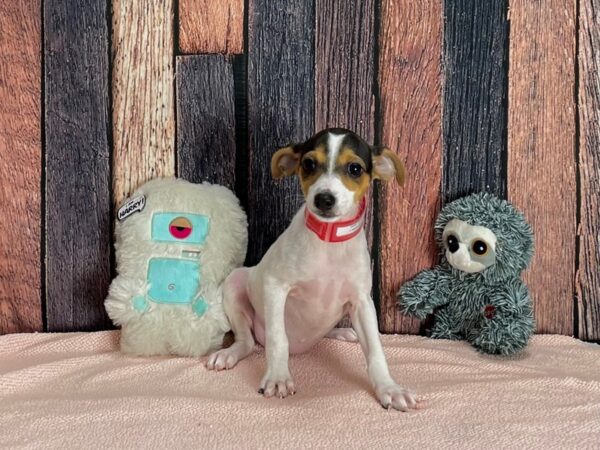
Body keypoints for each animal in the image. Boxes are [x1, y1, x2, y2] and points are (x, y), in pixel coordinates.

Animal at [206, 127, 418, 412]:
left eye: (354, 168)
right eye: (308, 164)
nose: (324, 199)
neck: (328, 242)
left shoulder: (362, 302)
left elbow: (376, 351)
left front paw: (389, 388)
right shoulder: (275, 287)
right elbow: (278, 339)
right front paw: (278, 377)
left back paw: (342, 331)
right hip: (235, 284)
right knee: (247, 342)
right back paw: (229, 354)